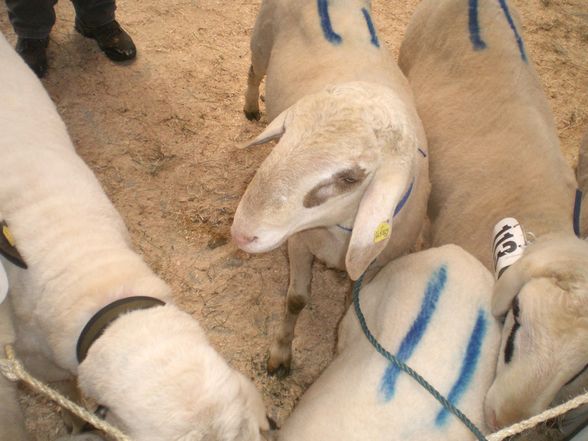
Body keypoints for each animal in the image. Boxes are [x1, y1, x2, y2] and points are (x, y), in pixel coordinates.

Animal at [232, 0, 430, 376]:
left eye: (350, 178)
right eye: (285, 132)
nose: (240, 234)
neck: (338, 234)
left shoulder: (374, 267)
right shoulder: (298, 242)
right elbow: (296, 299)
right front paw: (280, 354)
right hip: (261, 40)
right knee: (252, 70)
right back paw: (250, 106)